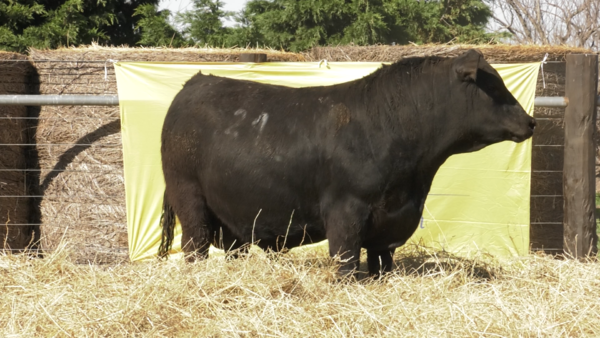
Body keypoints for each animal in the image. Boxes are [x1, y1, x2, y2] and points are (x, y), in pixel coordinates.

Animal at [158, 50, 536, 278]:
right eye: (495, 88)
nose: (531, 122)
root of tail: (196, 82)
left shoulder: (389, 224)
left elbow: (381, 265)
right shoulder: (346, 212)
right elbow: (347, 264)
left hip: (233, 215)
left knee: (233, 248)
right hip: (190, 199)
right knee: (194, 246)